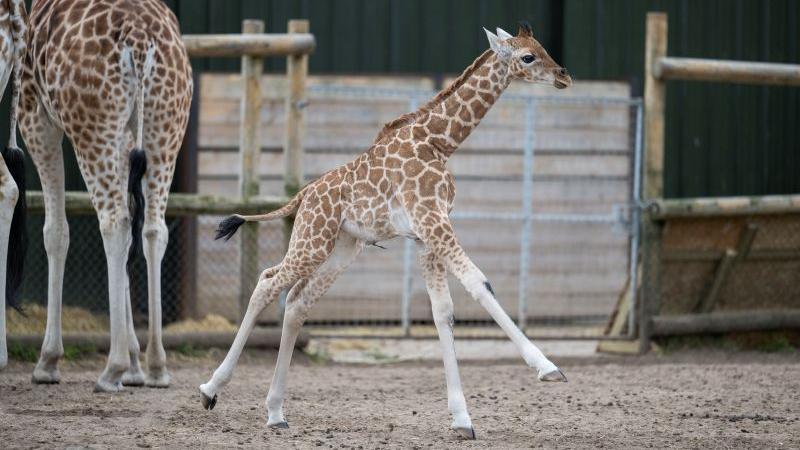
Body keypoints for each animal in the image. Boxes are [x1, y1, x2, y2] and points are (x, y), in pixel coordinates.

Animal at [16, 0, 192, 390]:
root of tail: (140, 41)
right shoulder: (127, 138)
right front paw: (135, 365)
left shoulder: (35, 116)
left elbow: (55, 233)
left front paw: (48, 361)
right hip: (165, 126)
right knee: (153, 228)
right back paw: (155, 365)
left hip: (92, 127)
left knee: (115, 223)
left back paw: (111, 368)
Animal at [202, 22, 576, 440]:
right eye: (527, 56)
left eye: (541, 48)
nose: (563, 75)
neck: (439, 143)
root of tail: (302, 195)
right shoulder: (432, 221)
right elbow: (480, 284)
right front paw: (547, 368)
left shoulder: (429, 233)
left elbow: (443, 311)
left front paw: (461, 419)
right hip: (312, 240)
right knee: (267, 282)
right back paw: (210, 390)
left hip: (343, 248)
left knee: (298, 302)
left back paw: (275, 411)